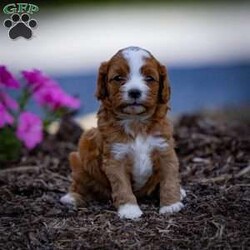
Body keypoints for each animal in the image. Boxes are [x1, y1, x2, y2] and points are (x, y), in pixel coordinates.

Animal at [60, 46, 186, 219]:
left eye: (149, 78)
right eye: (118, 78)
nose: (134, 92)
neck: (136, 121)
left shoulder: (164, 148)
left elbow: (169, 178)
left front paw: (171, 205)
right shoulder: (115, 156)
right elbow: (121, 184)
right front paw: (129, 210)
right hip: (81, 151)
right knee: (79, 183)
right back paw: (72, 197)